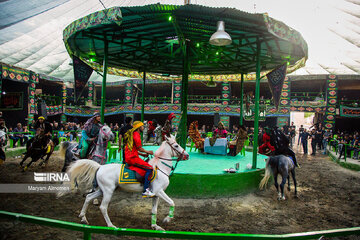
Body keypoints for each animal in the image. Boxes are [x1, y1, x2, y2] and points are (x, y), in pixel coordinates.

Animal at [59, 135, 188, 231]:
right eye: (176, 145)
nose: (186, 155)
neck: (160, 167)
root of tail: (100, 167)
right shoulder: (159, 191)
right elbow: (172, 203)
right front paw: (167, 219)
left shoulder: (155, 195)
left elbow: (154, 211)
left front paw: (155, 226)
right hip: (108, 191)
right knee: (103, 207)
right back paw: (111, 225)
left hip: (102, 190)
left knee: (89, 197)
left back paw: (83, 218)